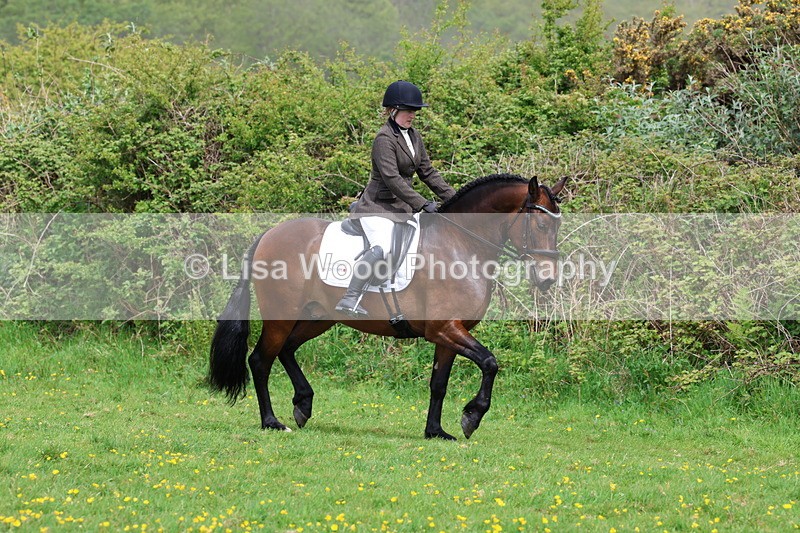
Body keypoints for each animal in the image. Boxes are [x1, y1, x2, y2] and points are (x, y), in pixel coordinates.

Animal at [208, 173, 567, 440]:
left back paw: (303, 404)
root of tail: (268, 234)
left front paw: (436, 431)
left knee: (286, 350)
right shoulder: (445, 328)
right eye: (540, 225)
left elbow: (439, 383)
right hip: (282, 317)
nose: (548, 279)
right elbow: (490, 362)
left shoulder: (448, 334)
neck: (462, 244)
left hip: (317, 317)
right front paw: (471, 417)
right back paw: (272, 422)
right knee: (260, 360)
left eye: (557, 226)